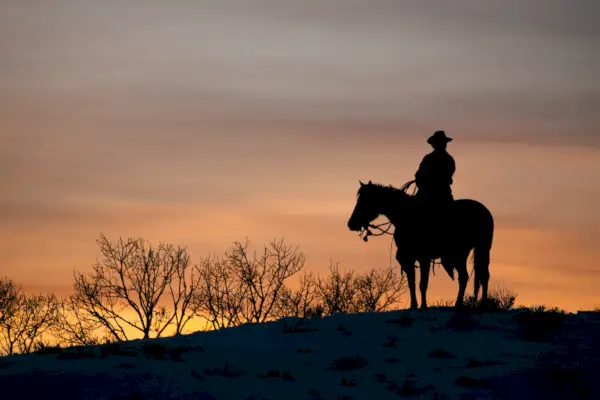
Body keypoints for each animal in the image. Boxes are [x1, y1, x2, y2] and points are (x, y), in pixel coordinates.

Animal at [346, 180, 492, 310]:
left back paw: (471, 304)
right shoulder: (407, 258)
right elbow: (412, 282)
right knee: (477, 276)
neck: (408, 218)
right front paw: (413, 305)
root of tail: (484, 210)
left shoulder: (424, 258)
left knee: (471, 277)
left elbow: (423, 283)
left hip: (469, 251)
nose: (351, 224)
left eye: (364, 201)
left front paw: (423, 306)